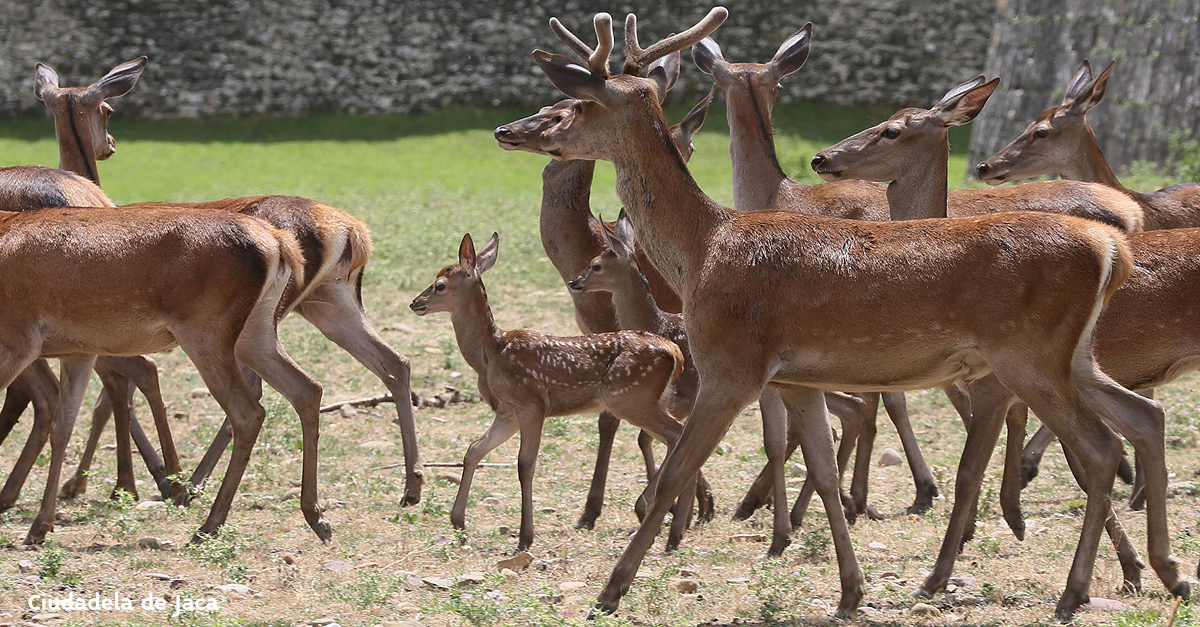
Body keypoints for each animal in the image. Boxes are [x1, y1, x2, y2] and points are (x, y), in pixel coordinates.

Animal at [11, 56, 427, 509]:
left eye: (108, 110)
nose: (111, 144)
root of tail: (352, 232)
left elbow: (115, 387)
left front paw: (133, 481)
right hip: (328, 302)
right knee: (394, 363)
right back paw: (411, 484)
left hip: (248, 321)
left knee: (255, 392)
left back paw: (193, 483)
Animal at [410, 231, 700, 550]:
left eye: (440, 284)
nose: (414, 303)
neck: (492, 353)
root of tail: (674, 352)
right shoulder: (507, 412)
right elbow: (474, 450)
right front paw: (458, 520)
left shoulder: (531, 403)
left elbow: (525, 464)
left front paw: (525, 536)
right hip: (652, 399)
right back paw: (677, 529)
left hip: (631, 397)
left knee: (676, 436)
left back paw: (658, 515)